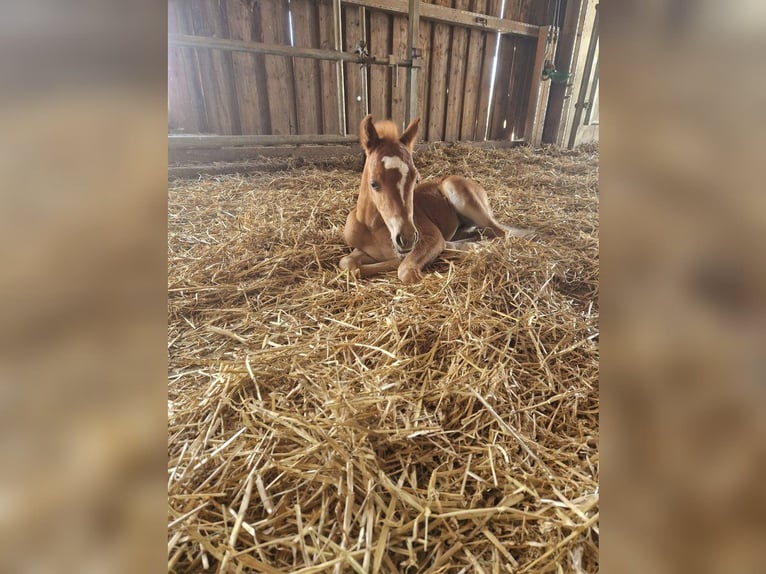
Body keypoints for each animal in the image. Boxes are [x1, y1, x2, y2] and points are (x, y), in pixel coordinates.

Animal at [340, 115, 531, 284]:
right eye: (374, 183)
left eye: (416, 179)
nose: (407, 238)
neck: (372, 226)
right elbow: (347, 263)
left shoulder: (431, 237)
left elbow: (405, 269)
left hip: (460, 194)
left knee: (501, 233)